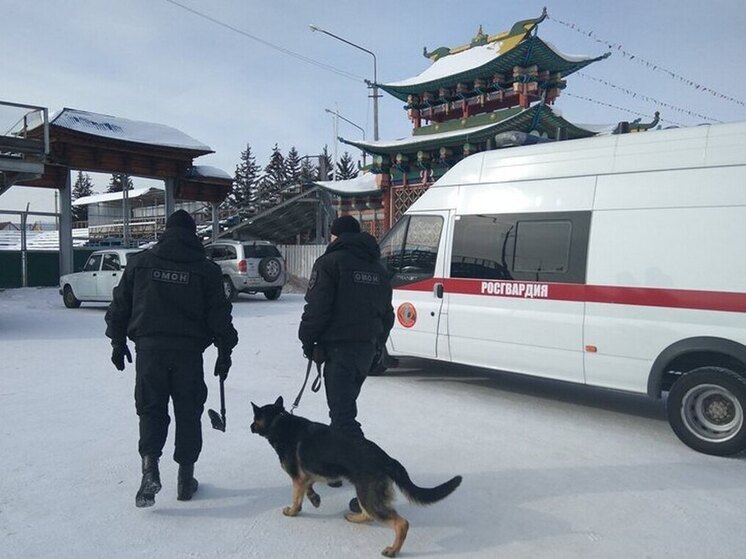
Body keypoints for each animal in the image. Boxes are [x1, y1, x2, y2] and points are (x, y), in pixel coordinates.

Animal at [250, 396, 460, 556]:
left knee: (401, 523)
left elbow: (296, 497)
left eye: (254, 418)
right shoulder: (306, 476)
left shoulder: (297, 477)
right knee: (368, 516)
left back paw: (393, 550)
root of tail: (387, 459)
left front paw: (293, 511)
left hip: (368, 496)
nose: (250, 427)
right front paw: (314, 498)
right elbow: (307, 488)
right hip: (365, 494)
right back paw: (354, 517)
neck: (278, 421)